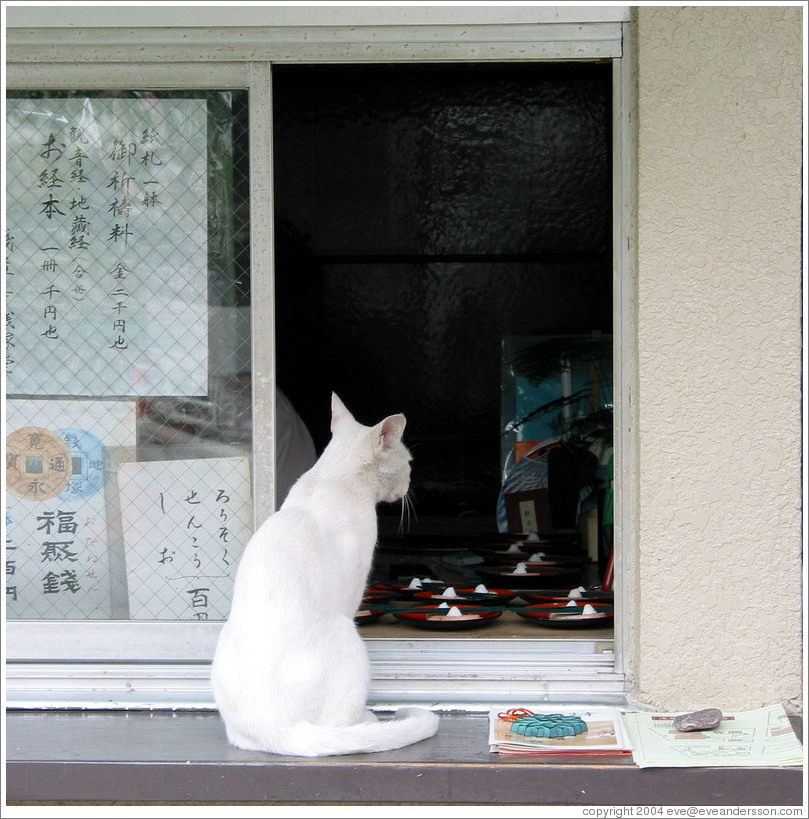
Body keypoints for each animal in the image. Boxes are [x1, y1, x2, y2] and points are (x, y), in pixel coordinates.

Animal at [208, 390, 436, 756]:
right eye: (410, 465)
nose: (410, 484)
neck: (331, 477)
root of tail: (274, 727)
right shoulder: (354, 584)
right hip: (348, 638)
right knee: (341, 725)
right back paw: (367, 720)